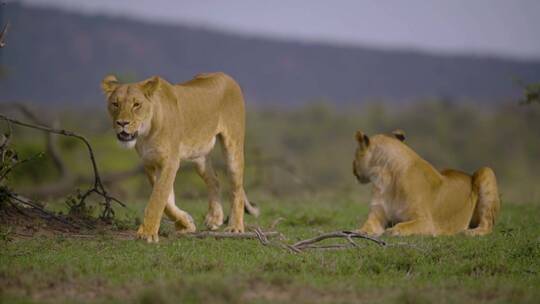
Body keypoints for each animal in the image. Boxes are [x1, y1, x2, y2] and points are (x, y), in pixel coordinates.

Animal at [103, 71, 260, 242]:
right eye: (115, 104)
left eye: (136, 104)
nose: (122, 123)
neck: (145, 133)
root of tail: (225, 75)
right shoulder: (149, 164)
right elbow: (167, 202)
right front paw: (186, 223)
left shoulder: (169, 162)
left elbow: (157, 198)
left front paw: (147, 234)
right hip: (199, 156)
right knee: (214, 180)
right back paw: (215, 217)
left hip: (233, 146)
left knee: (236, 188)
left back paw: (235, 227)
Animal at [352, 129, 500, 236]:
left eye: (355, 154)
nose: (352, 168)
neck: (384, 179)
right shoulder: (377, 216)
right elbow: (367, 226)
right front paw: (357, 231)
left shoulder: (427, 222)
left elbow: (403, 225)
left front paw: (392, 230)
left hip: (486, 171)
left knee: (488, 224)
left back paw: (470, 232)